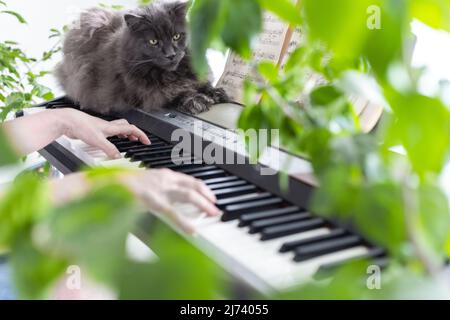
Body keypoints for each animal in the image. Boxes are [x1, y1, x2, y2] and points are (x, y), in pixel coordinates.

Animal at [55, 0, 229, 115]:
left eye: (176, 36)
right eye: (153, 42)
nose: (171, 55)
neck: (172, 74)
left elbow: (201, 83)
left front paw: (216, 92)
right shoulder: (149, 95)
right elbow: (176, 94)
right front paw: (197, 100)